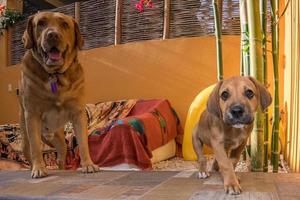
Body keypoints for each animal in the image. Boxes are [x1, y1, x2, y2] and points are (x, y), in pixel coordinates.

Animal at [19, 11, 99, 178]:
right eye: (41, 23)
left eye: (64, 24)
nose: (53, 35)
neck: (54, 75)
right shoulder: (32, 115)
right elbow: (36, 148)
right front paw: (39, 168)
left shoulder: (78, 113)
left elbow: (83, 143)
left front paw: (88, 164)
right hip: (25, 140)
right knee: (30, 151)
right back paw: (33, 167)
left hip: (60, 142)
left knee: (61, 158)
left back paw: (63, 168)